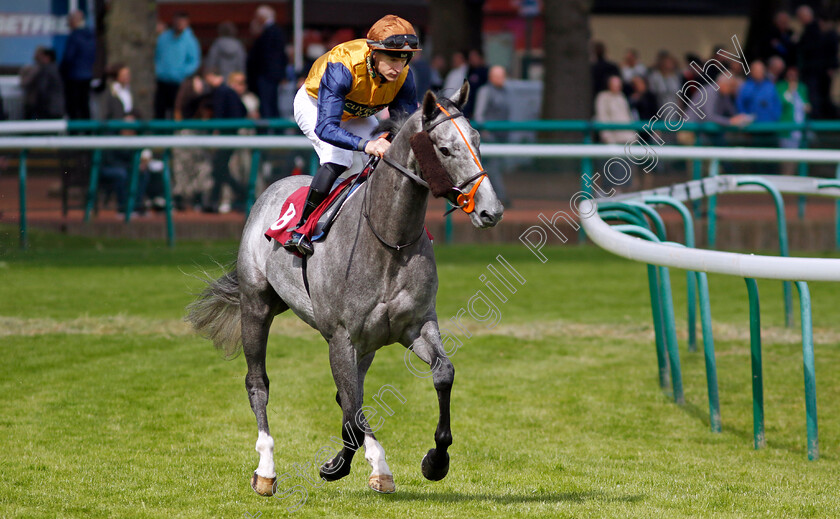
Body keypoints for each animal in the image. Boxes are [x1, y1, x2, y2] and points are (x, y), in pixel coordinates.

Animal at [189, 85, 506, 500]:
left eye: (478, 141)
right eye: (445, 149)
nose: (491, 211)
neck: (389, 239)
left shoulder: (415, 326)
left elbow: (442, 374)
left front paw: (435, 461)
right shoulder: (341, 337)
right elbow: (351, 413)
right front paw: (335, 466)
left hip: (367, 344)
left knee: (350, 395)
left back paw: (378, 466)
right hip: (256, 305)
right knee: (258, 384)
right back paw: (266, 470)